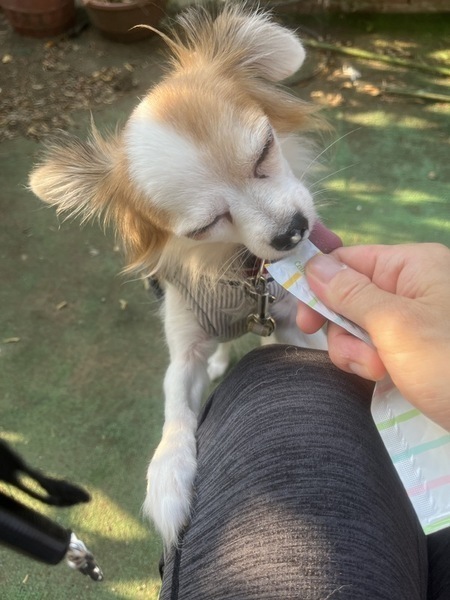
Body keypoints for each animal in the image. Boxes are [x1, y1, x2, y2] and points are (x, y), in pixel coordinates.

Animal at [29, 5, 340, 549]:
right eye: (204, 225)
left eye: (265, 150)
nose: (292, 231)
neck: (237, 270)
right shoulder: (184, 353)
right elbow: (176, 406)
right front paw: (168, 475)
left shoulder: (287, 319)